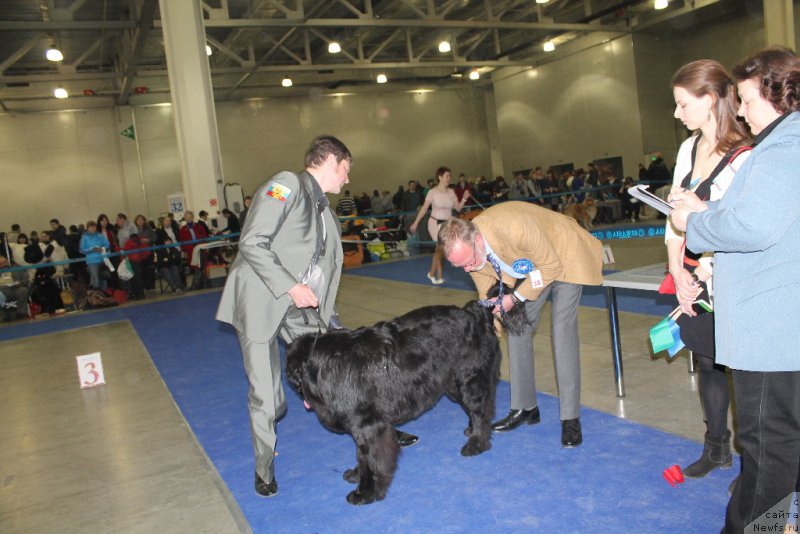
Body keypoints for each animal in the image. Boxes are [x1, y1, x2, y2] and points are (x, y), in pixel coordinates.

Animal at [286, 302, 500, 506]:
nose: (293, 382)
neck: (322, 364)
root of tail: (474, 312)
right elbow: (362, 458)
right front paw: (357, 475)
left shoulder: (369, 427)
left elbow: (370, 461)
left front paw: (365, 493)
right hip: (451, 384)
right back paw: (471, 431)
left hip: (468, 378)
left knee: (481, 410)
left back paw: (476, 443)